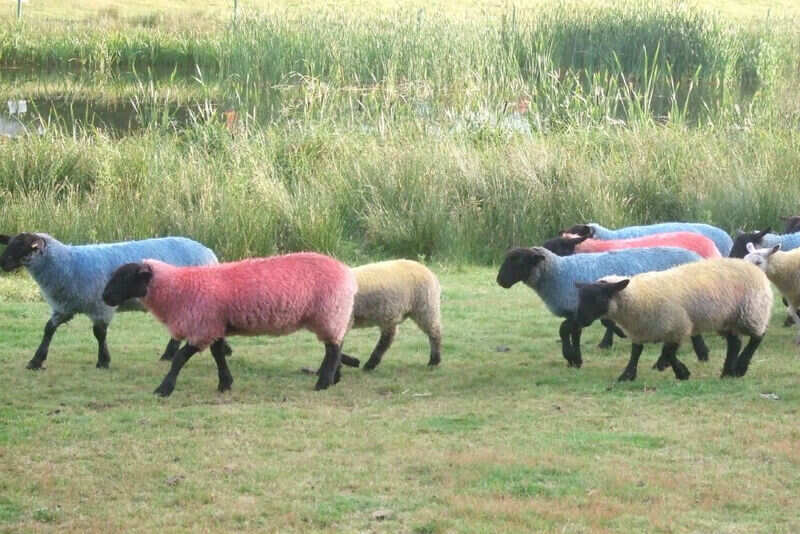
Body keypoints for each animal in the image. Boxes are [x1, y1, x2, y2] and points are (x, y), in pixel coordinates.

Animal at [0, 232, 220, 370]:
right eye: (10, 244)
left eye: (24, 247)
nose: (3, 263)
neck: (66, 263)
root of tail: (209, 252)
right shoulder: (64, 307)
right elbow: (48, 329)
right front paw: (35, 361)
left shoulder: (101, 306)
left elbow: (99, 333)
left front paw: (103, 361)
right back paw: (168, 354)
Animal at [101, 253, 357, 396]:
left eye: (125, 277)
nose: (104, 297)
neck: (178, 288)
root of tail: (347, 273)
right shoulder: (214, 326)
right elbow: (218, 355)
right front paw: (225, 383)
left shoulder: (202, 327)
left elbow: (179, 358)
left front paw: (164, 389)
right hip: (333, 315)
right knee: (337, 345)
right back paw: (333, 378)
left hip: (329, 312)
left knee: (333, 349)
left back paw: (323, 383)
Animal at [496, 246, 707, 369]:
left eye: (518, 260)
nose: (500, 281)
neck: (558, 273)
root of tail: (697, 257)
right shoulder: (579, 313)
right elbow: (574, 333)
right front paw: (576, 359)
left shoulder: (578, 311)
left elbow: (564, 330)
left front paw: (570, 356)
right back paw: (701, 354)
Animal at [574, 258, 772, 381]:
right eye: (581, 297)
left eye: (599, 298)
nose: (580, 320)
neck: (638, 297)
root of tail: (754, 268)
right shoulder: (641, 330)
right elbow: (636, 352)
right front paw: (627, 375)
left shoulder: (678, 326)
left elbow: (668, 352)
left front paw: (682, 373)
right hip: (727, 318)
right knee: (734, 343)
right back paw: (727, 372)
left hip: (752, 311)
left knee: (757, 337)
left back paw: (740, 367)